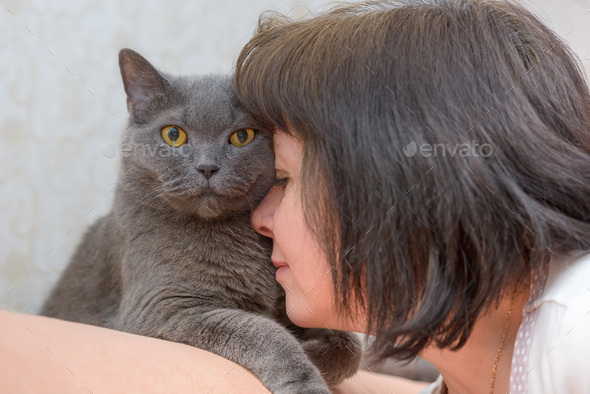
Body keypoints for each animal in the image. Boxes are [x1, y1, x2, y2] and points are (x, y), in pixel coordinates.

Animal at [40, 50, 360, 394]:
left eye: (242, 136)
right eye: (174, 134)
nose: (207, 167)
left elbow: (352, 346)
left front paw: (315, 351)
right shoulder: (164, 309)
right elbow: (267, 333)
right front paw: (306, 376)